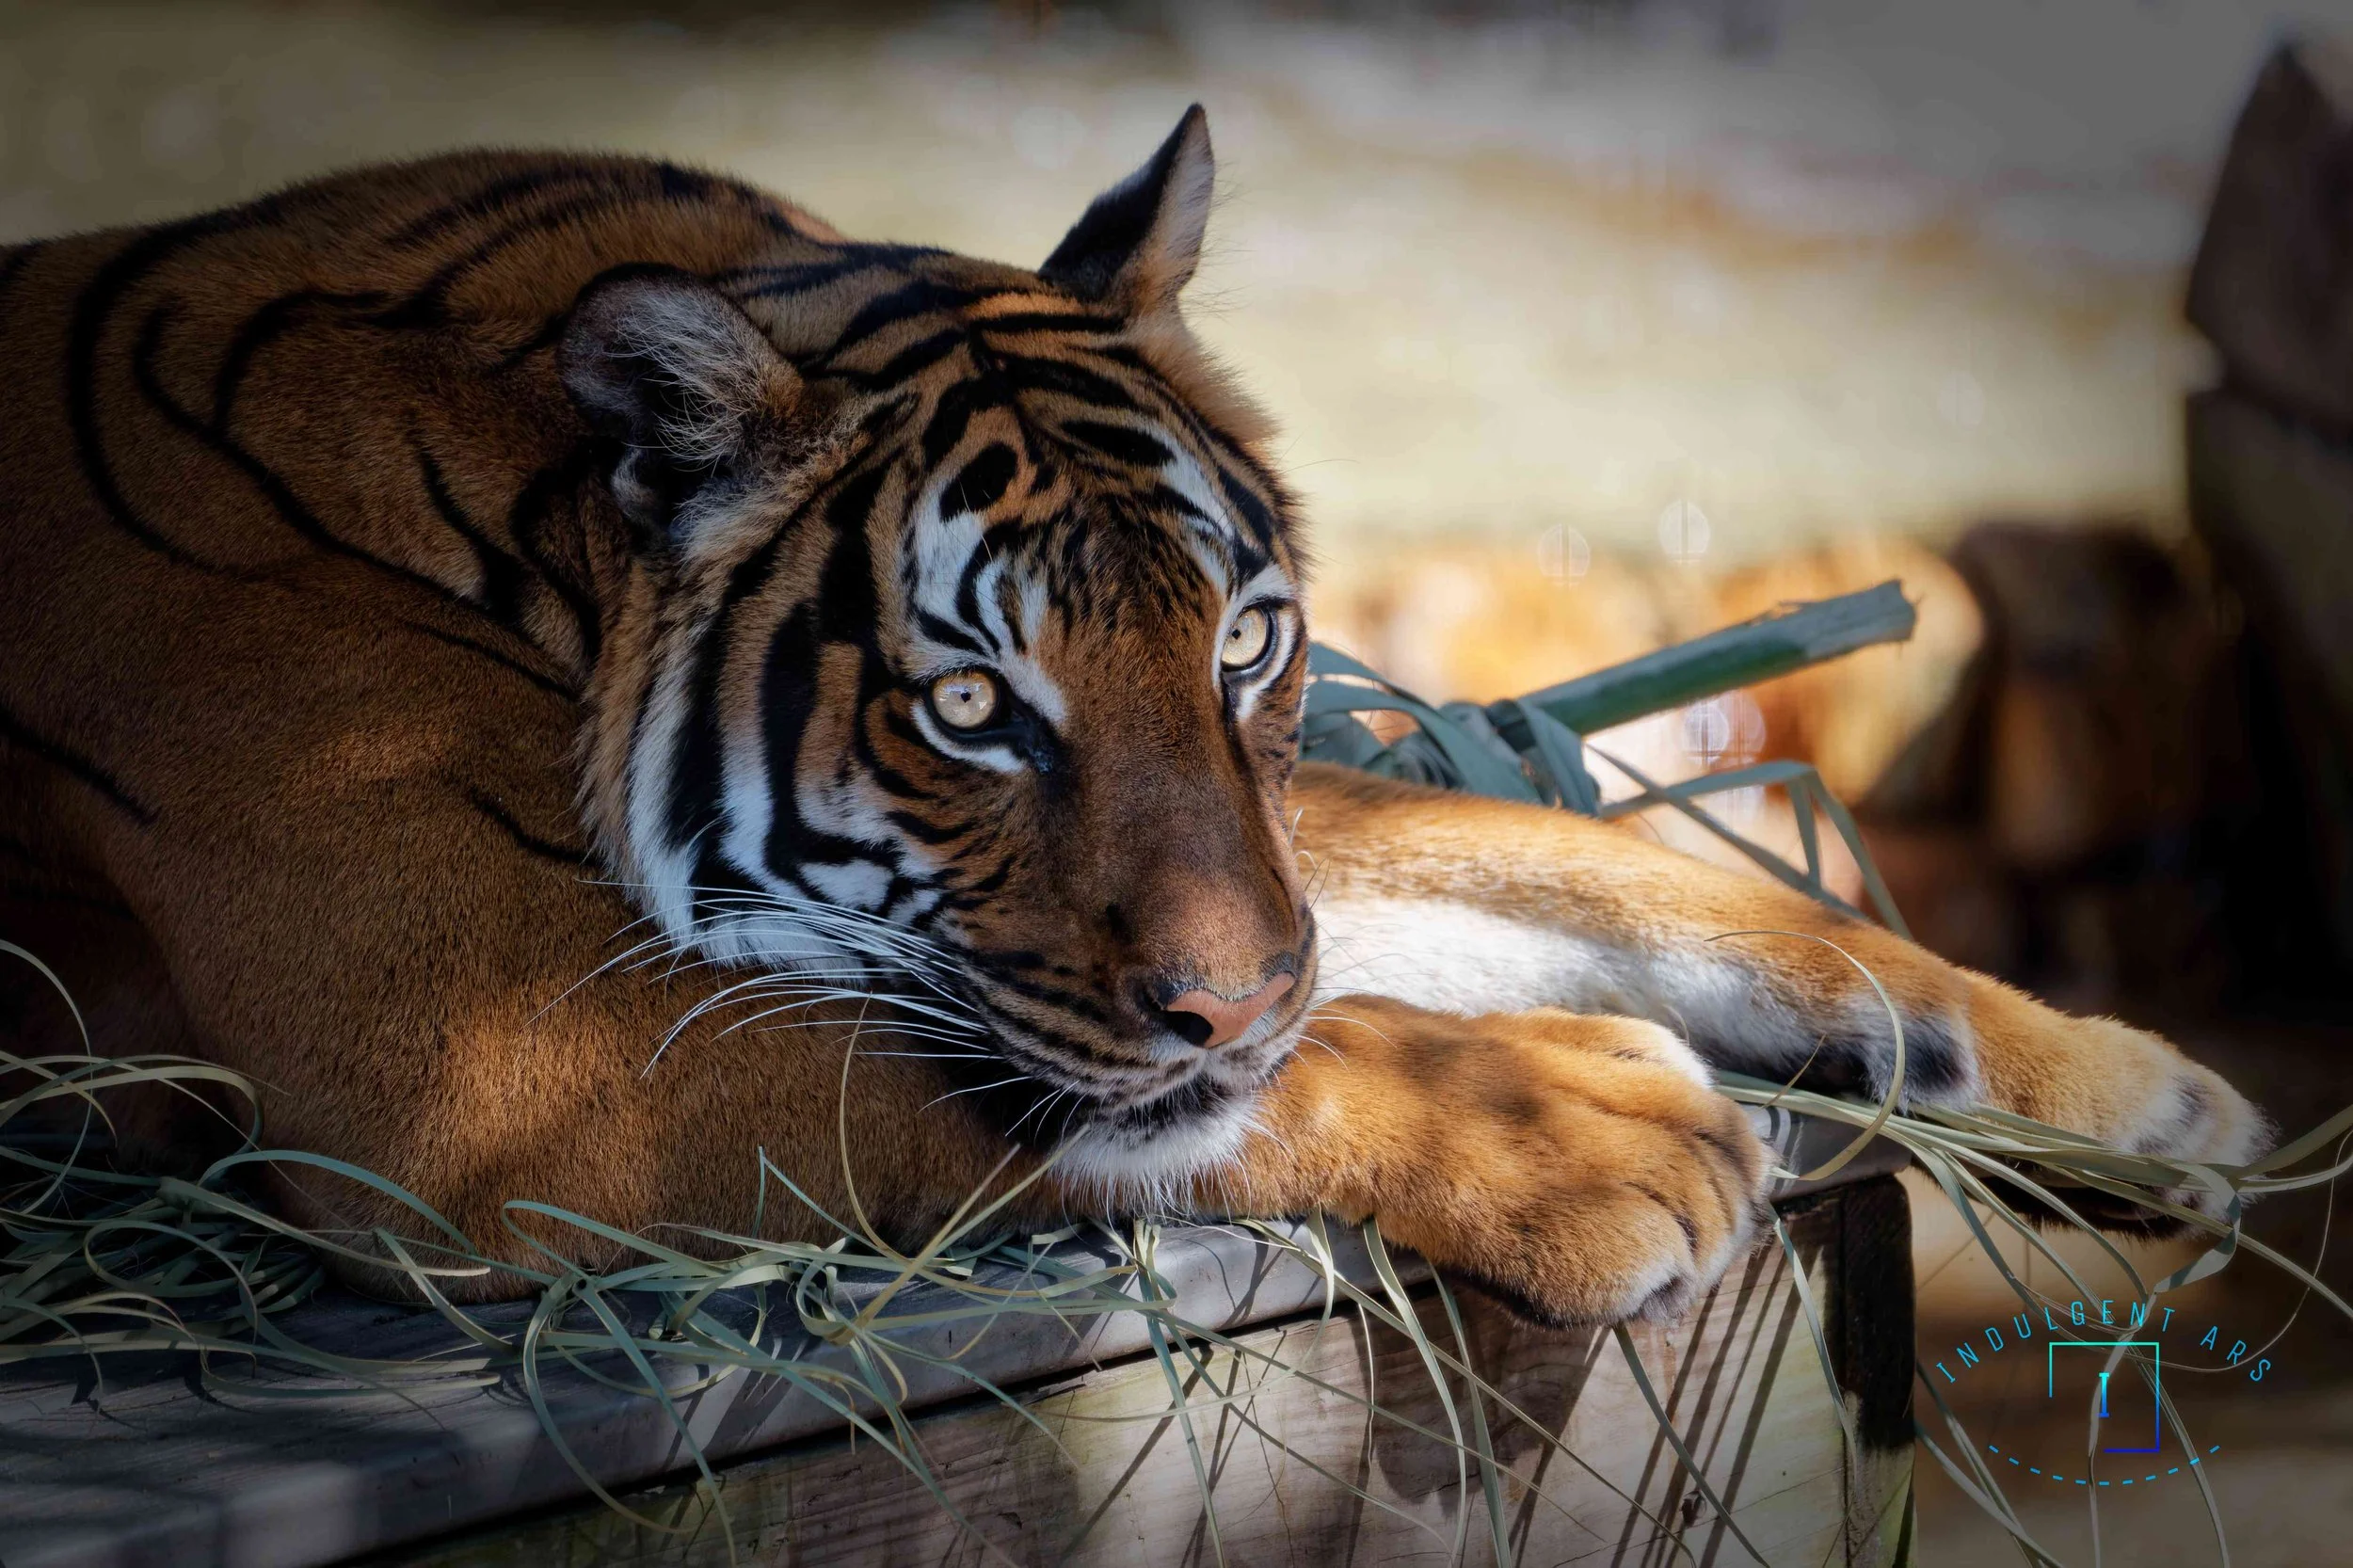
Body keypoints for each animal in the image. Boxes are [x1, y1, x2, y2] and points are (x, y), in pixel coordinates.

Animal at [0, 108, 2268, 1327]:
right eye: (970, 703)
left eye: (1246, 642)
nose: (1240, 994)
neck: (527, 535)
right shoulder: (471, 1061)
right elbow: (1125, 1097)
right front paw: (1599, 1132)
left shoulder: (1271, 843)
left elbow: (1590, 871)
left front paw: (2138, 1096)